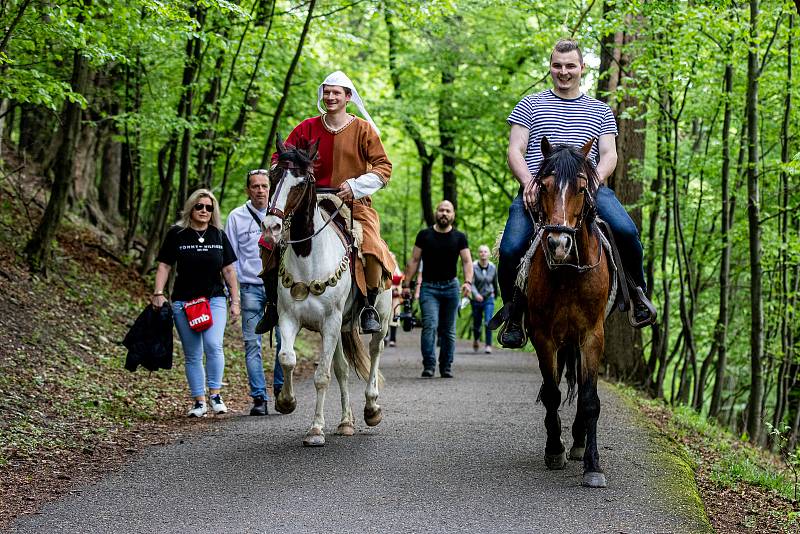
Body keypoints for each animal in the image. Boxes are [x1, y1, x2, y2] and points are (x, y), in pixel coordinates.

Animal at [262, 138, 390, 448]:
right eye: (273, 176)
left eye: (300, 182)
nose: (271, 227)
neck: (308, 255)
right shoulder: (290, 318)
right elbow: (288, 358)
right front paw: (286, 402)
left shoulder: (330, 321)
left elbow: (321, 376)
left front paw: (315, 430)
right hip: (341, 327)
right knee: (343, 369)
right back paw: (346, 423)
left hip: (379, 318)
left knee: (375, 350)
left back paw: (372, 408)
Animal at [524, 138, 612, 490]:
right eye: (543, 186)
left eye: (582, 187)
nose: (559, 242)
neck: (568, 273)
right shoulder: (543, 336)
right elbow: (551, 392)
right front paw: (553, 450)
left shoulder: (592, 335)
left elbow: (589, 399)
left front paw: (592, 465)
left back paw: (577, 441)